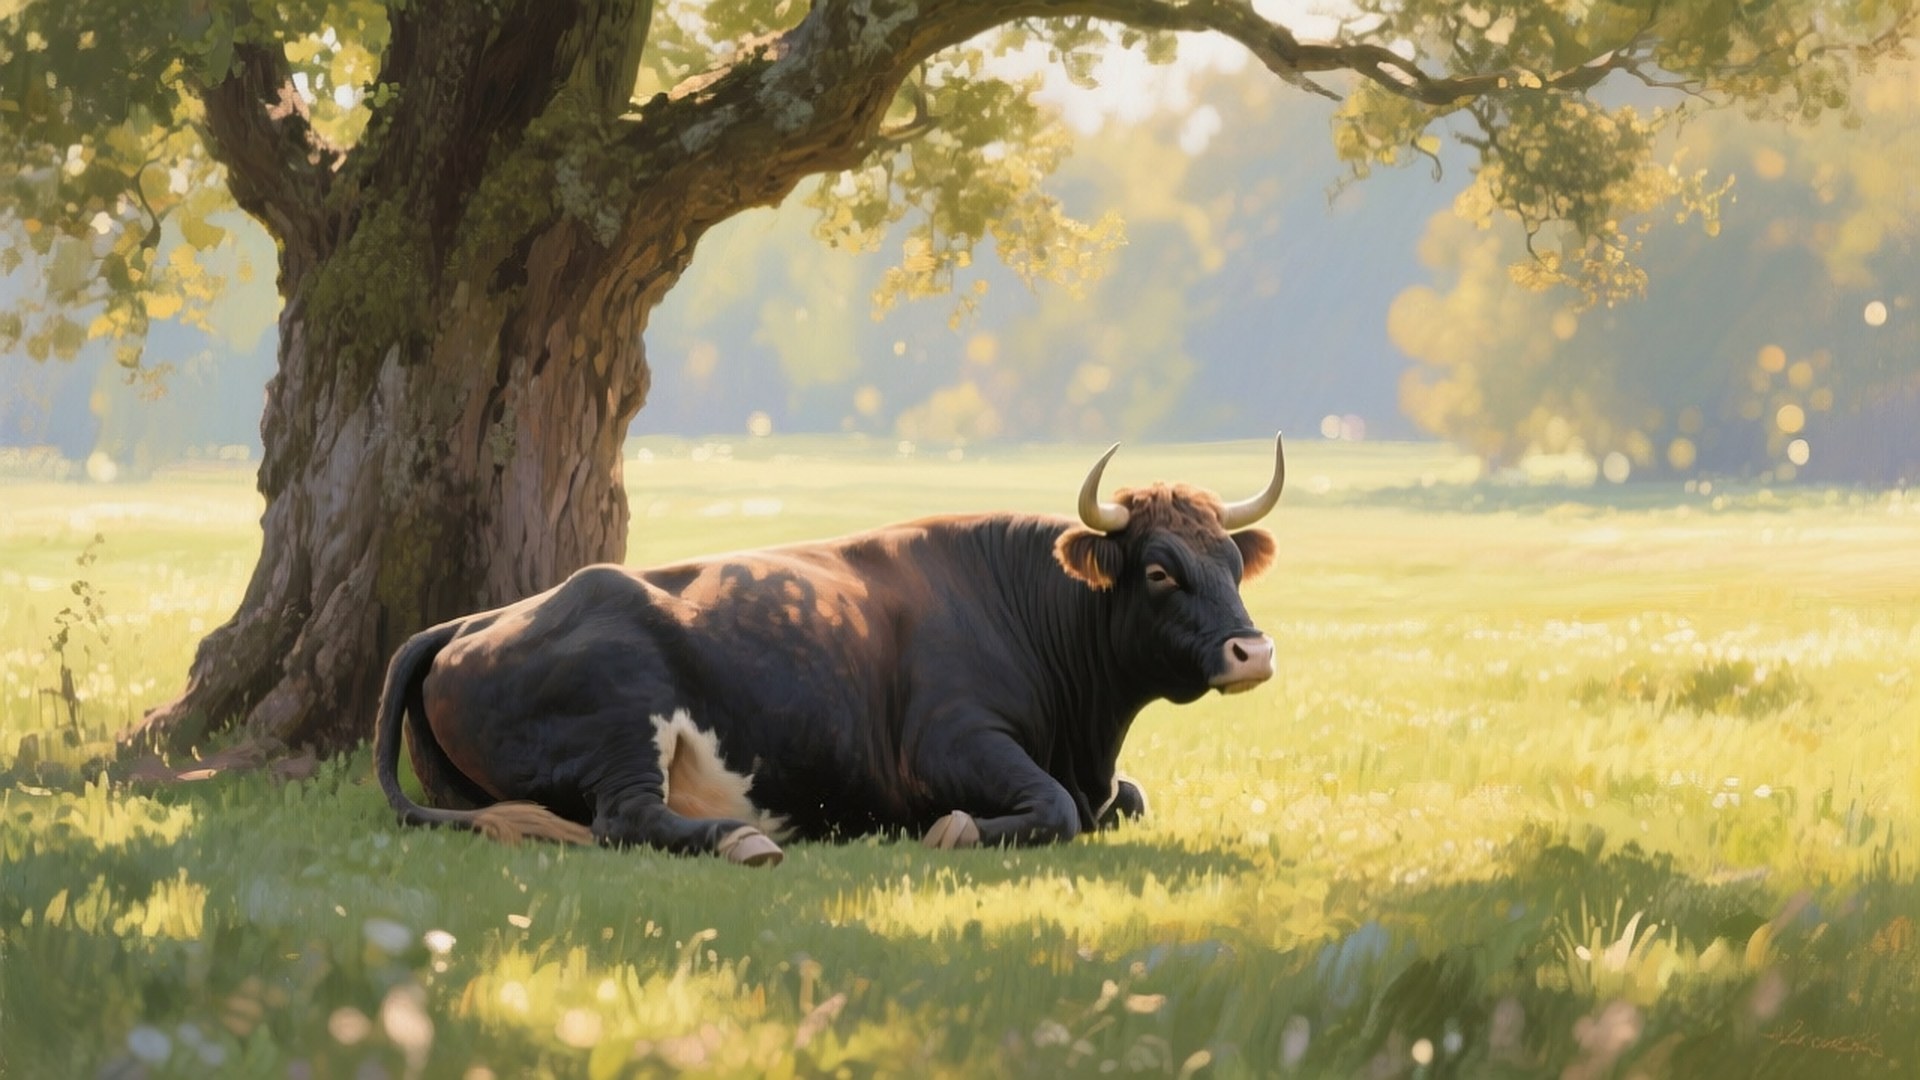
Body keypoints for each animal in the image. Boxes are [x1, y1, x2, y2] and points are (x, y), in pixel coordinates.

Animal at [374, 436, 1285, 866]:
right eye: (1160, 570)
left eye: (1231, 559)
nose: (1253, 651)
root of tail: (473, 622)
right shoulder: (953, 742)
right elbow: (1056, 811)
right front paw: (956, 829)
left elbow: (1127, 799)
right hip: (619, 715)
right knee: (627, 818)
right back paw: (741, 840)